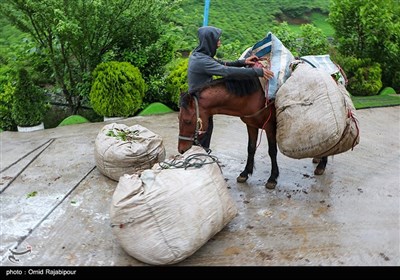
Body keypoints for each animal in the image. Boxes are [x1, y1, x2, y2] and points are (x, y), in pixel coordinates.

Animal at [177, 77, 326, 189]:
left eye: (187, 121)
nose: (181, 149)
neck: (254, 97)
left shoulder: (270, 127)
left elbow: (272, 151)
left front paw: (272, 178)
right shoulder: (251, 125)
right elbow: (251, 148)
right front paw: (245, 173)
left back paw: (321, 165)